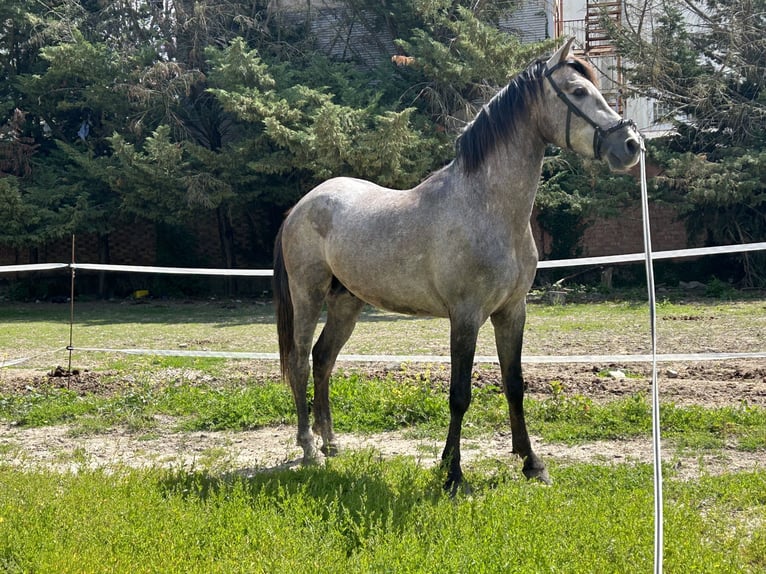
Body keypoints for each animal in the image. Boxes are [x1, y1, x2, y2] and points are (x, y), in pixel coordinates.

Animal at [273, 38, 642, 494]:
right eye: (577, 91)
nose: (631, 145)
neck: (488, 207)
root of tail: (301, 206)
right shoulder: (465, 317)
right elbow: (460, 393)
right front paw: (452, 473)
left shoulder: (511, 312)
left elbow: (515, 384)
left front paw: (531, 463)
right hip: (308, 296)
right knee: (301, 362)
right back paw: (309, 448)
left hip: (347, 302)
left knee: (324, 360)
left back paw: (331, 443)